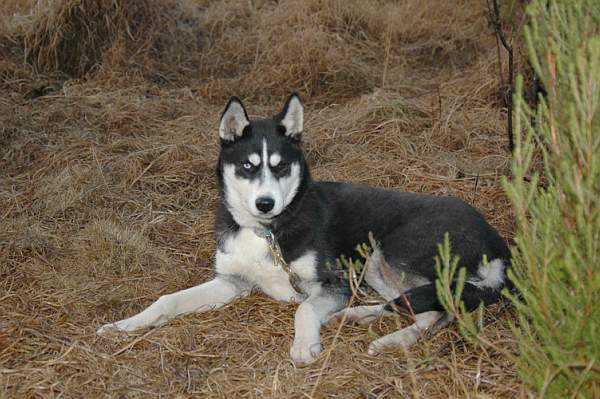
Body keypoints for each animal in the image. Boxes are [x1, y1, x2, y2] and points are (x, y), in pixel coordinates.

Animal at [99, 94, 510, 366]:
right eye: (248, 167)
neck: (268, 231)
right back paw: (359, 316)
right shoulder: (231, 282)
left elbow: (305, 309)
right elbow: (167, 300)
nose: (266, 203)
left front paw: (304, 345)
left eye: (281, 167)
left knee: (435, 312)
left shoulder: (331, 284)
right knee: (418, 304)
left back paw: (392, 340)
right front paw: (123, 325)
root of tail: (497, 244)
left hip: (383, 254)